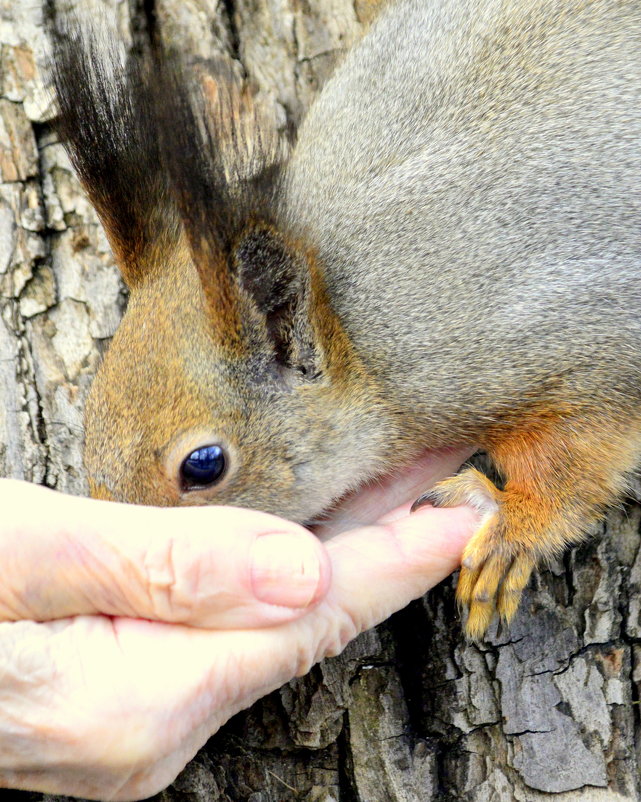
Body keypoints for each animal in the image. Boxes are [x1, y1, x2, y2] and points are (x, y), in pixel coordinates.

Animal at [48, 0, 640, 636]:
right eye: (87, 429)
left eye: (204, 466)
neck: (356, 335)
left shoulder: (564, 334)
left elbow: (579, 458)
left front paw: (514, 530)